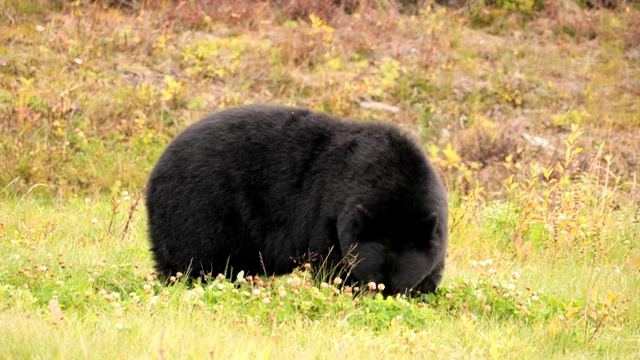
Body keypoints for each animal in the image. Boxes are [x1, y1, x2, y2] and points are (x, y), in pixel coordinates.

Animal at [145, 104, 448, 296]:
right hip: (199, 209)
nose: (380, 300)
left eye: (400, 285)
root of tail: (156, 168)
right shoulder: (329, 212)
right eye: (372, 279)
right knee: (192, 260)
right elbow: (331, 262)